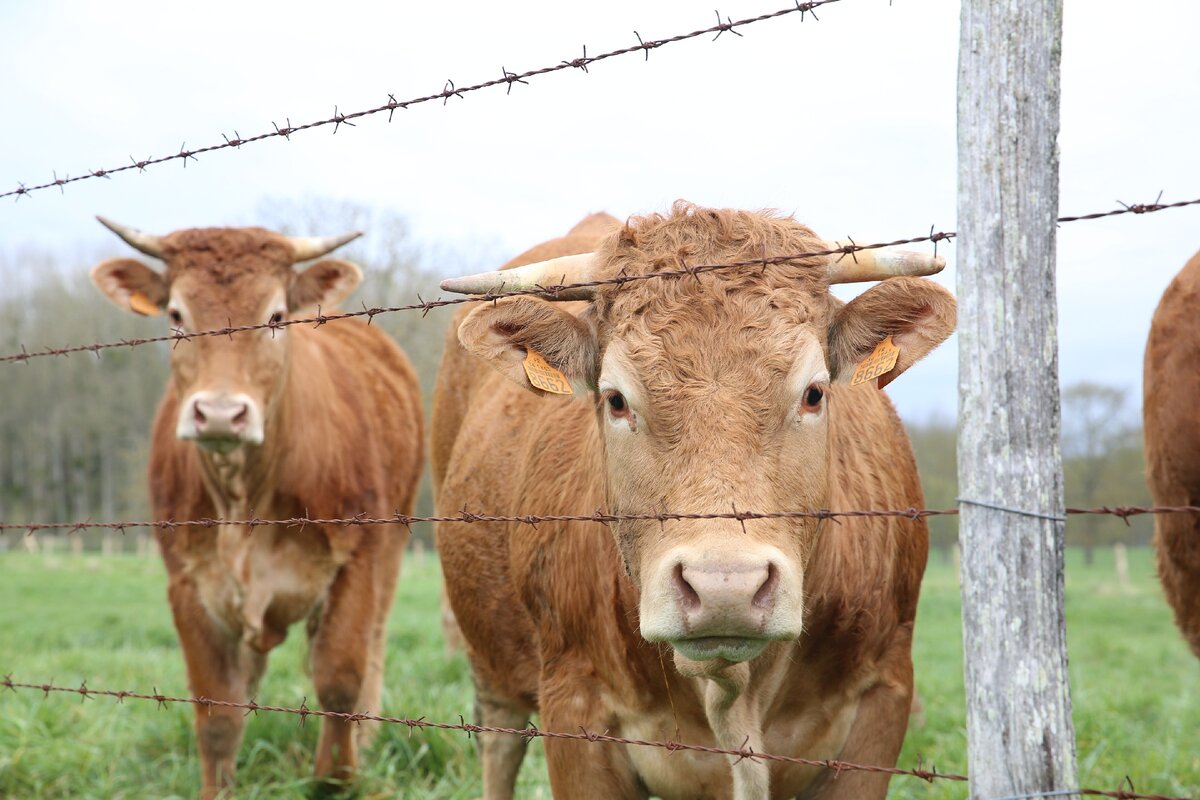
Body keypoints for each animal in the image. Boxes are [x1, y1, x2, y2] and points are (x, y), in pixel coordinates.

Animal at [90, 220, 427, 800]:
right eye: (176, 315)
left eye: (274, 316)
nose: (221, 413)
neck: (244, 502)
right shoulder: (189, 583)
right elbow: (218, 710)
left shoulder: (357, 561)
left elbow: (340, 679)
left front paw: (335, 777)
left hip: (393, 546)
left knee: (372, 651)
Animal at [432, 205, 955, 800]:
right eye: (616, 399)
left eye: (814, 393)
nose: (725, 587)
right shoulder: (574, 708)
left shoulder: (881, 702)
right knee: (498, 742)